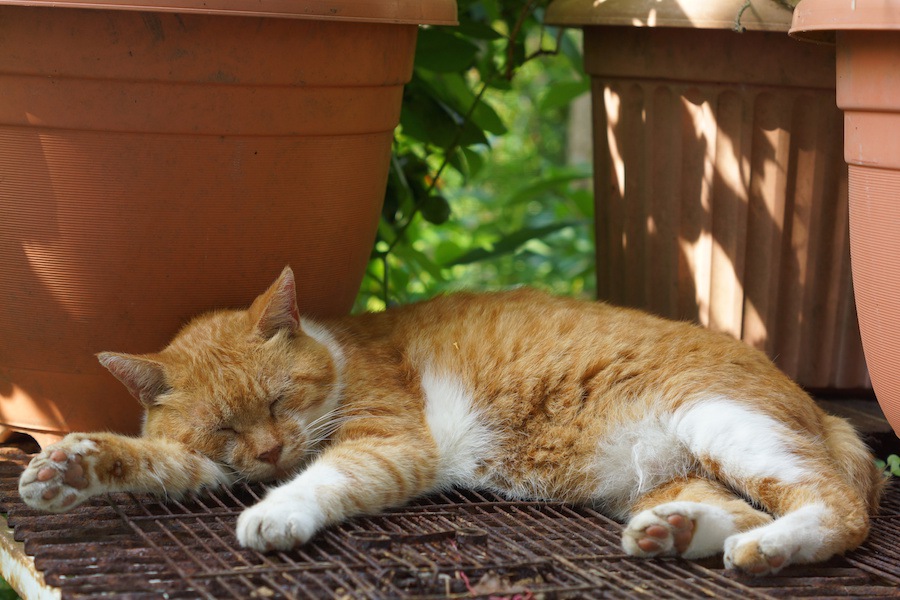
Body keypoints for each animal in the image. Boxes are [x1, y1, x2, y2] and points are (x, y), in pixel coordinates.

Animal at [17, 266, 884, 572]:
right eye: (225, 430)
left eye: (278, 401)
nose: (268, 451)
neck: (339, 355)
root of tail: (820, 408)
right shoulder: (210, 465)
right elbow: (158, 462)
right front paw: (70, 466)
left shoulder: (388, 443)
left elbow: (319, 480)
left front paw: (276, 513)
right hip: (667, 476)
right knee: (734, 509)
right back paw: (672, 534)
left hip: (725, 424)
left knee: (836, 513)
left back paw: (769, 551)